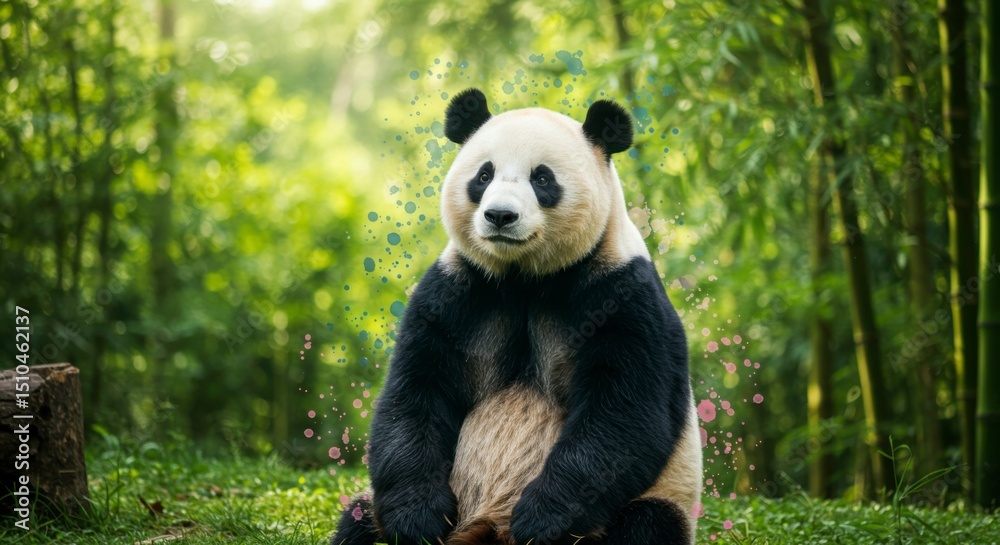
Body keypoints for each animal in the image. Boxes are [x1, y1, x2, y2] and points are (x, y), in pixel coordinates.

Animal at [332, 88, 702, 545]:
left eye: (542, 179)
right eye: (484, 175)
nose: (500, 216)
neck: (524, 277)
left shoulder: (622, 293)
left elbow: (624, 413)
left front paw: (541, 520)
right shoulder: (457, 290)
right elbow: (416, 393)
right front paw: (419, 520)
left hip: (658, 499)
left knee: (647, 524)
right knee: (360, 519)